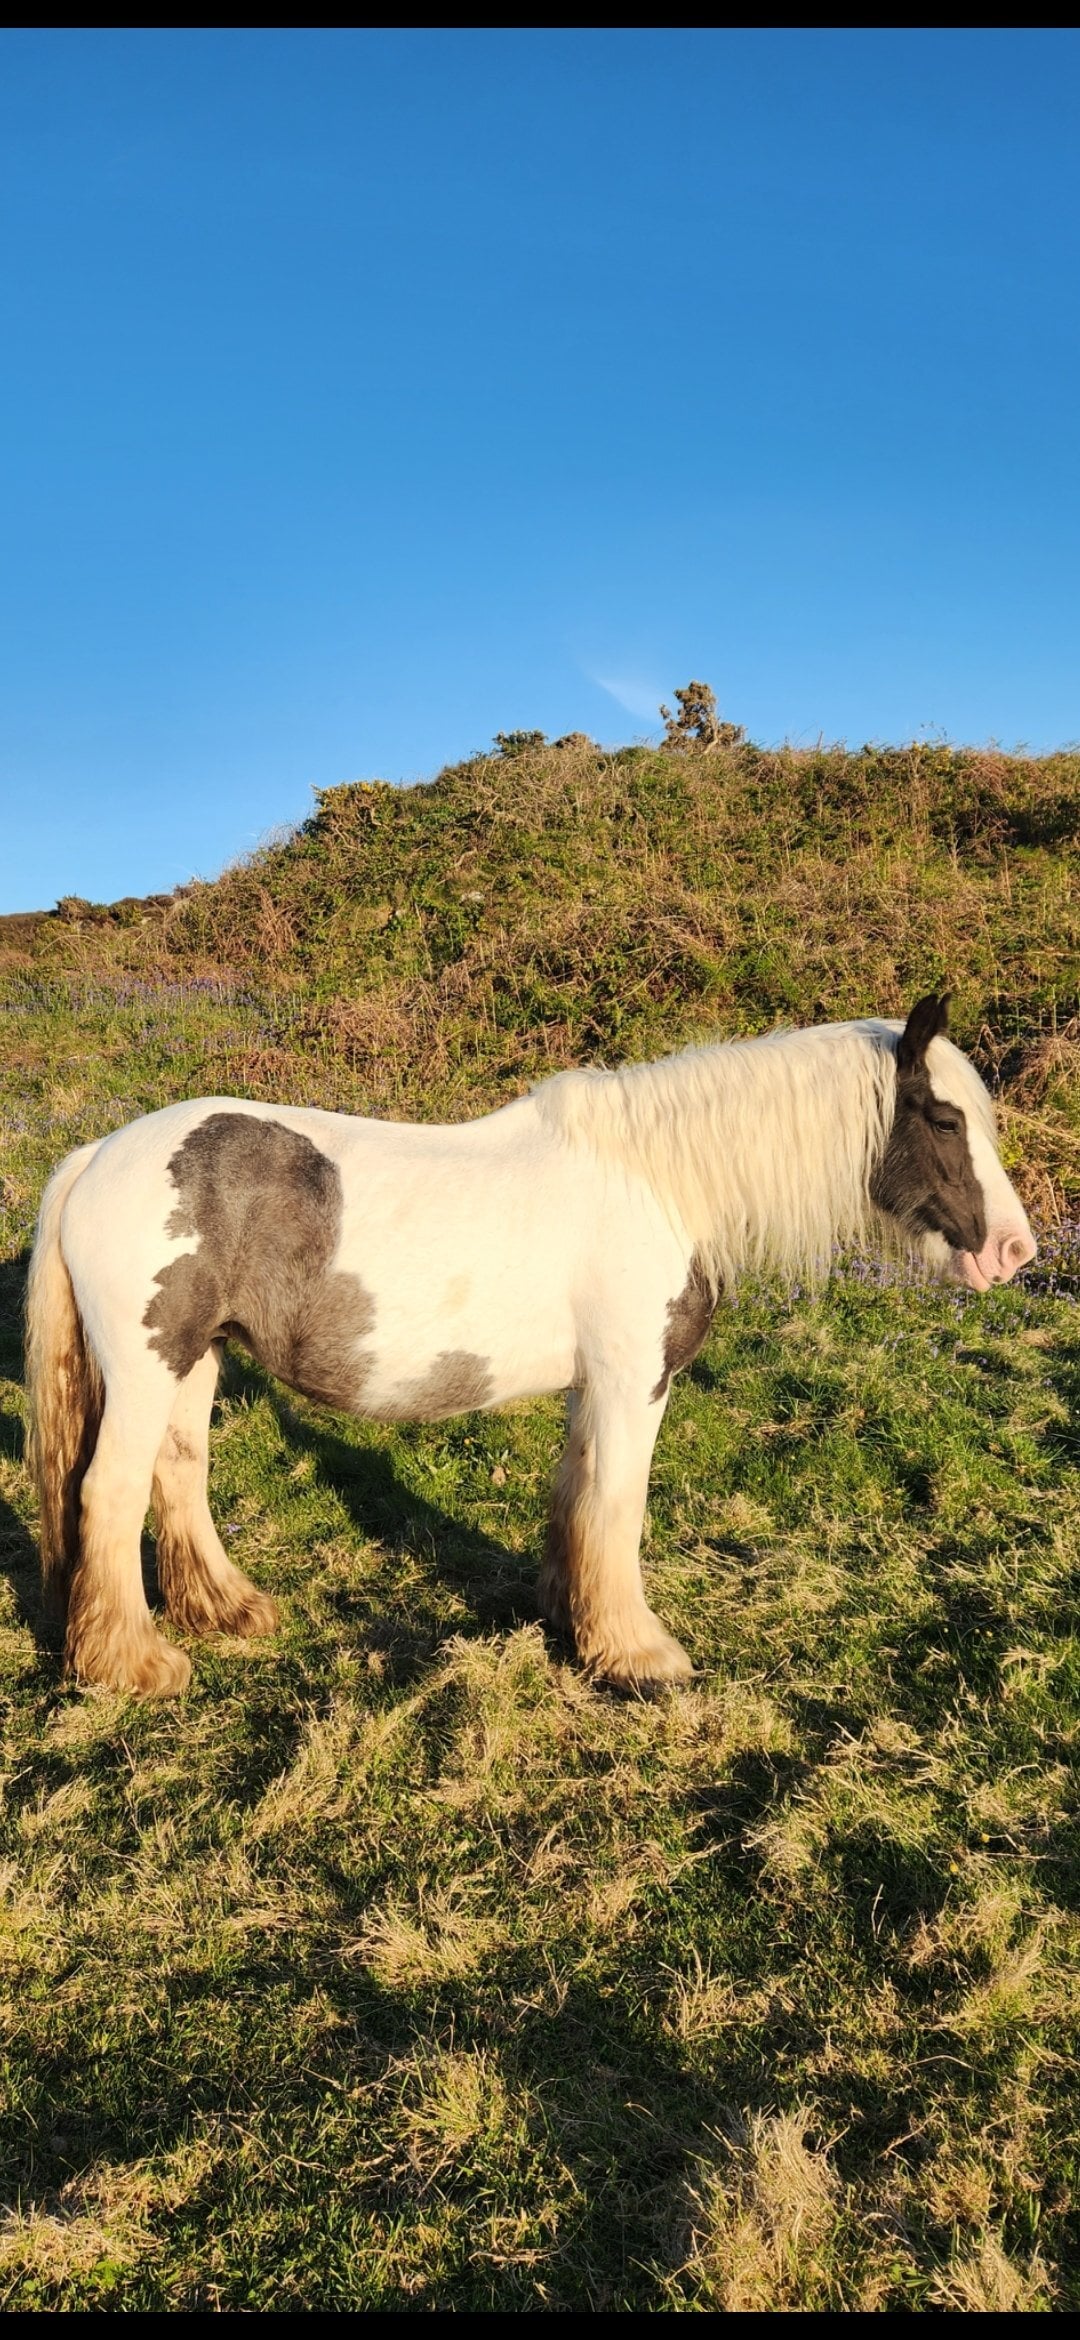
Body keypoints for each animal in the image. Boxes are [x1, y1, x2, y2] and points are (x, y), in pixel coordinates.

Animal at [25, 992, 1035, 1700]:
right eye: (945, 1120)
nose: (1015, 1251)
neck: (660, 1181)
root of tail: (98, 1155)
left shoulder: (598, 1387)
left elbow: (579, 1498)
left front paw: (572, 1619)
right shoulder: (635, 1381)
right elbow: (620, 1506)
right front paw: (640, 1655)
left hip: (196, 1357)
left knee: (179, 1472)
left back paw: (226, 1610)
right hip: (150, 1364)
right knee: (110, 1491)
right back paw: (134, 1666)